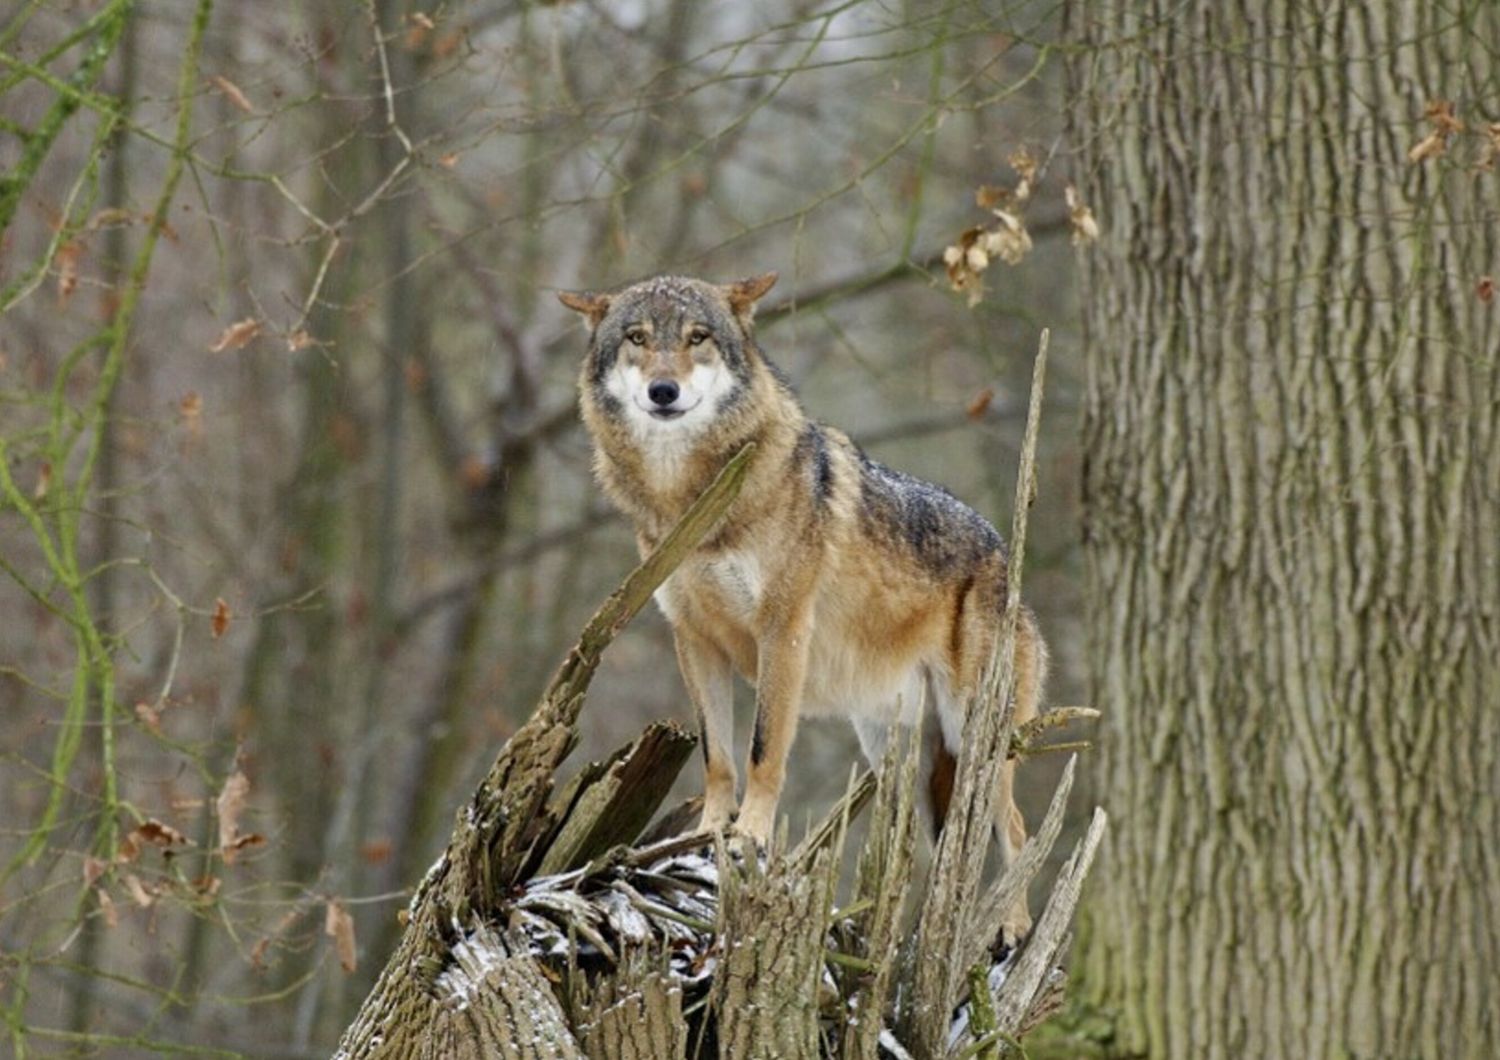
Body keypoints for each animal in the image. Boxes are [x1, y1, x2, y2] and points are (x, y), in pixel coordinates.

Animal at [561, 269, 1044, 941]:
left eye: (697, 337)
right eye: (637, 338)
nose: (664, 391)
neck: (693, 498)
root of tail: (1004, 557)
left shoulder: (781, 629)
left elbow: (764, 749)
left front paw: (749, 838)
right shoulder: (693, 639)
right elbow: (719, 757)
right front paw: (707, 834)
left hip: (975, 733)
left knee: (1015, 828)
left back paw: (1010, 929)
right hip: (896, 754)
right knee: (921, 847)